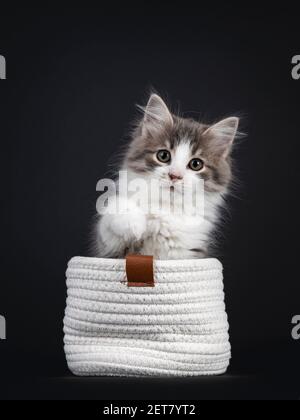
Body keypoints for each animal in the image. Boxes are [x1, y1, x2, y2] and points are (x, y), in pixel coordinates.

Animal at [94, 94, 239, 260]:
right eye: (163, 156)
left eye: (196, 164)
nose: (174, 175)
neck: (164, 209)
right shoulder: (106, 250)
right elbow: (113, 211)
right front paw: (134, 225)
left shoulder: (190, 253)